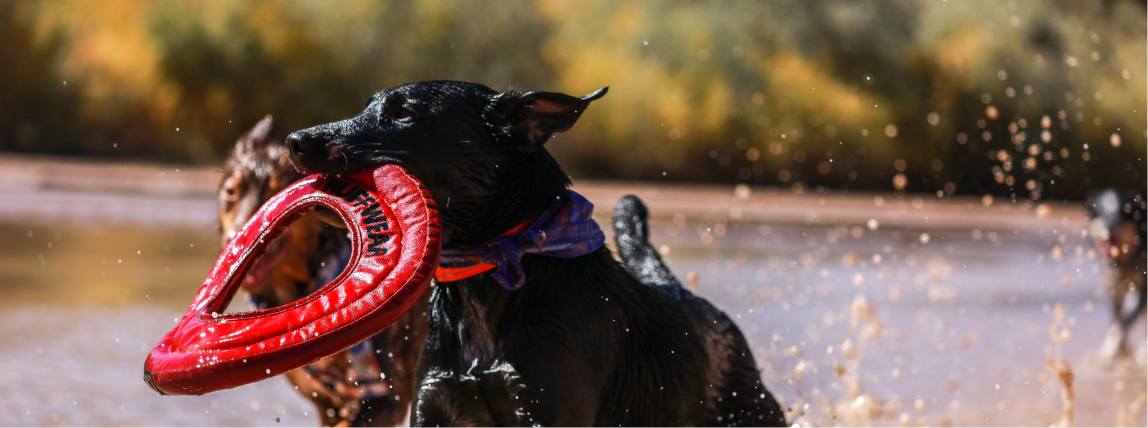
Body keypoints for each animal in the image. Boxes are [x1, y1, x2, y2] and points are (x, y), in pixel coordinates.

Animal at [1083, 188, 1148, 364]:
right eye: (1100, 211)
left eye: (1120, 215)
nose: (1108, 232)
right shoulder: (1114, 288)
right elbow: (1117, 320)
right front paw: (1122, 353)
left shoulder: (1142, 291)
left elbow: (1125, 322)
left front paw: (1109, 351)